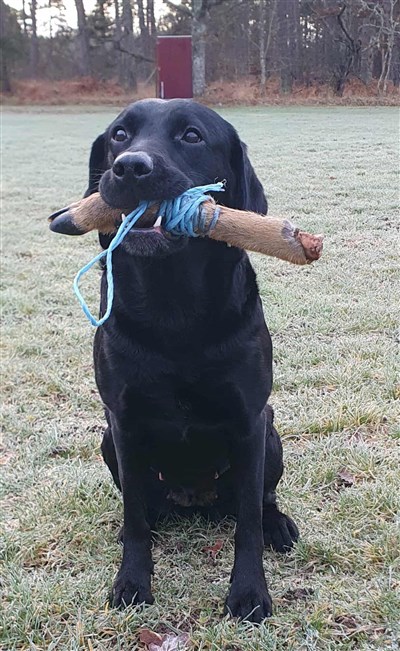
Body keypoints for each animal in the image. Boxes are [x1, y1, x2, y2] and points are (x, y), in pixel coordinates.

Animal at [85, 99, 299, 623]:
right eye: (119, 134)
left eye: (192, 136)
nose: (131, 167)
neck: (172, 308)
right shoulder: (123, 422)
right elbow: (136, 519)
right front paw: (132, 582)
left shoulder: (249, 420)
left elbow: (247, 523)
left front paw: (249, 593)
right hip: (107, 442)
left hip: (271, 435)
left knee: (262, 499)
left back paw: (278, 524)